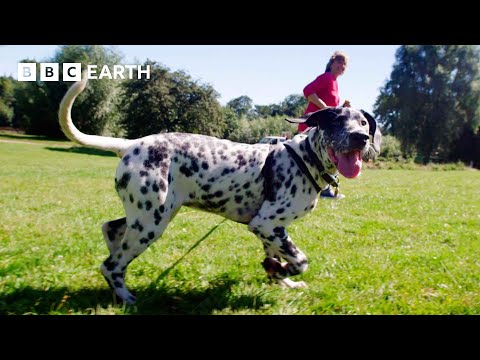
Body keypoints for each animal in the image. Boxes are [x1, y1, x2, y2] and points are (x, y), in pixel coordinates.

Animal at [58, 79, 380, 304]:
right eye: (336, 121)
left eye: (363, 122)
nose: (361, 137)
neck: (305, 158)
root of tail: (131, 145)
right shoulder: (266, 224)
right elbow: (299, 261)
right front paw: (283, 273)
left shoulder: (271, 230)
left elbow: (276, 260)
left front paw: (281, 279)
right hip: (151, 224)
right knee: (110, 265)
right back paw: (126, 297)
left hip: (148, 215)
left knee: (111, 231)